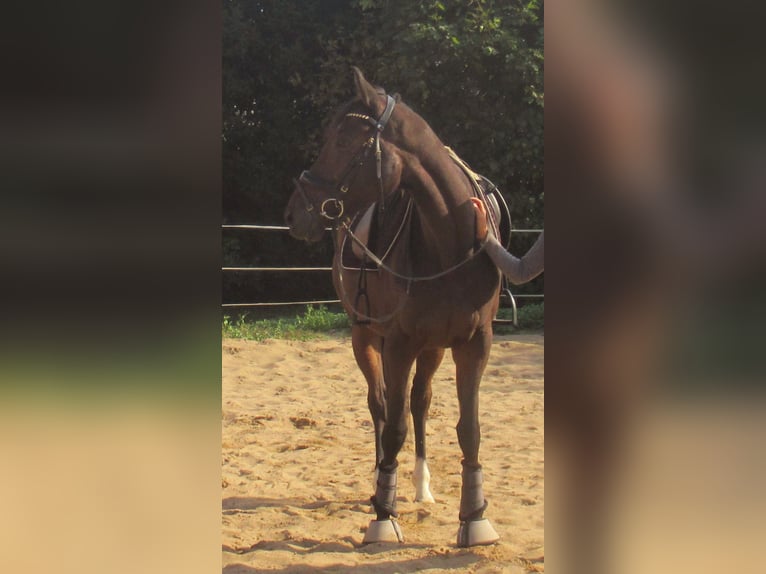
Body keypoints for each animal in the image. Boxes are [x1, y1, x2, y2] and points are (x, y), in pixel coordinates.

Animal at [284, 67, 504, 547]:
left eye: (342, 140)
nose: (295, 213)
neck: (448, 241)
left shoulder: (473, 343)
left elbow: (469, 429)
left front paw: (474, 518)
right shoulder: (399, 343)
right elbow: (394, 424)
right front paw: (383, 515)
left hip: (432, 348)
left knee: (419, 402)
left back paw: (420, 485)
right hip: (365, 336)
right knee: (381, 406)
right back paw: (380, 480)